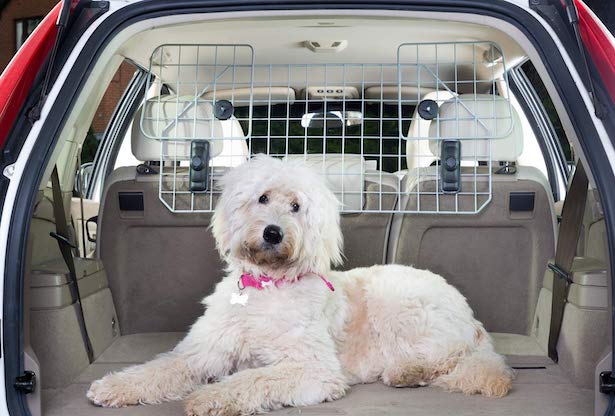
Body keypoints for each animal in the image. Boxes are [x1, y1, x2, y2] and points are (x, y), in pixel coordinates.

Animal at [85, 154, 510, 414]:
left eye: (296, 207)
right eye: (262, 198)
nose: (273, 233)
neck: (266, 287)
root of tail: (471, 318)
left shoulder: (311, 368)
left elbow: (251, 378)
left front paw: (210, 396)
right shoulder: (202, 352)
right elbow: (160, 370)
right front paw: (115, 387)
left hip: (402, 307)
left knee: (448, 358)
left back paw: (407, 373)